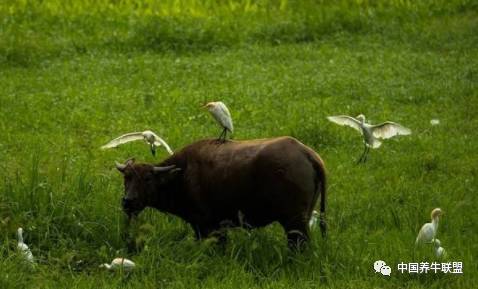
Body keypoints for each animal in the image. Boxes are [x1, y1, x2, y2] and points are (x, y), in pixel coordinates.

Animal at [116, 136, 326, 246]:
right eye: (127, 177)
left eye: (147, 178)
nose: (128, 201)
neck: (183, 174)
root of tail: (307, 154)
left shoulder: (207, 226)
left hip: (294, 222)